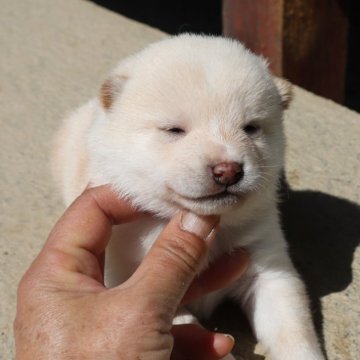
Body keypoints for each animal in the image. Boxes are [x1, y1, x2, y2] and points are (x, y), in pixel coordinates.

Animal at [52, 34, 324, 360]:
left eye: (251, 128)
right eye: (174, 130)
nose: (228, 171)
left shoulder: (268, 265)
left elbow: (290, 327)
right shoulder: (139, 284)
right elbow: (187, 327)